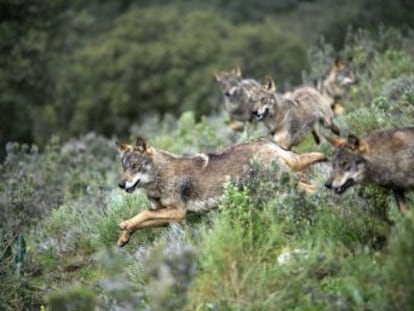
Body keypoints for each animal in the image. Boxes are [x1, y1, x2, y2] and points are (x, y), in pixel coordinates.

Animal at [114, 136, 326, 246]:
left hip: (280, 187)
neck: (160, 176)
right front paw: (124, 236)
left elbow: (143, 213)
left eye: (135, 166)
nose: (121, 184)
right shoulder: (172, 218)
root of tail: (269, 143)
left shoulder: (178, 212)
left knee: (314, 189)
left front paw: (124, 224)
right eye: (123, 167)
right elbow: (143, 219)